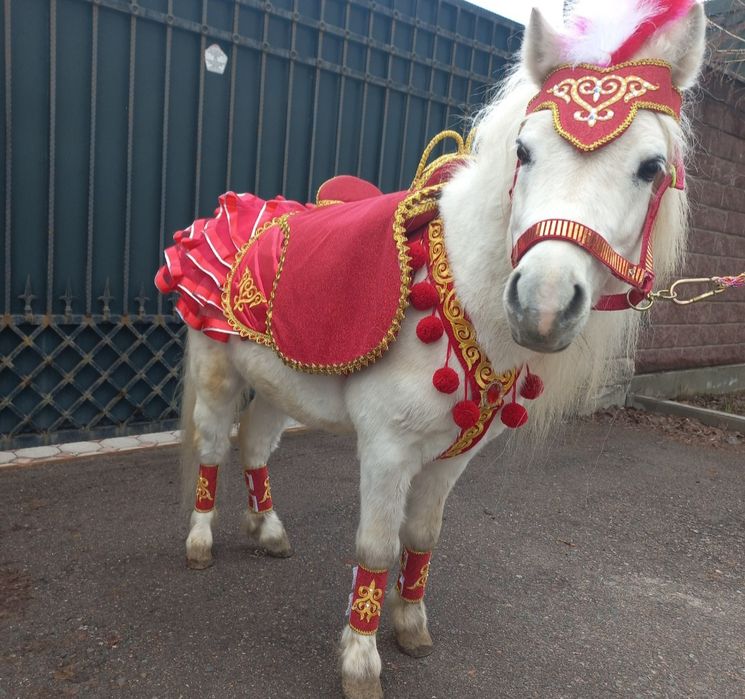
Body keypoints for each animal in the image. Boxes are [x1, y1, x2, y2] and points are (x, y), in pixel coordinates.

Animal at [156, 2, 706, 696]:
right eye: (524, 150)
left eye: (650, 167)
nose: (543, 303)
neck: (460, 291)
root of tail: (223, 214)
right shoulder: (387, 450)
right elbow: (376, 548)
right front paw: (361, 663)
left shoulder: (452, 457)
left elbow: (422, 538)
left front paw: (411, 625)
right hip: (216, 368)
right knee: (211, 445)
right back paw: (200, 542)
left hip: (283, 382)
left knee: (254, 443)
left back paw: (269, 530)